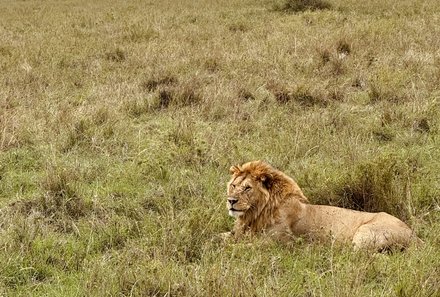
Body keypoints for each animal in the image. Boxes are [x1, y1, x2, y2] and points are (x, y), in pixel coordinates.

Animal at [225, 160, 422, 250]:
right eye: (233, 185)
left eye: (248, 188)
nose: (231, 201)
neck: (255, 213)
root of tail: (414, 235)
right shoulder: (239, 232)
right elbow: (222, 237)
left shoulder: (278, 243)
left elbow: (240, 247)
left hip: (364, 234)